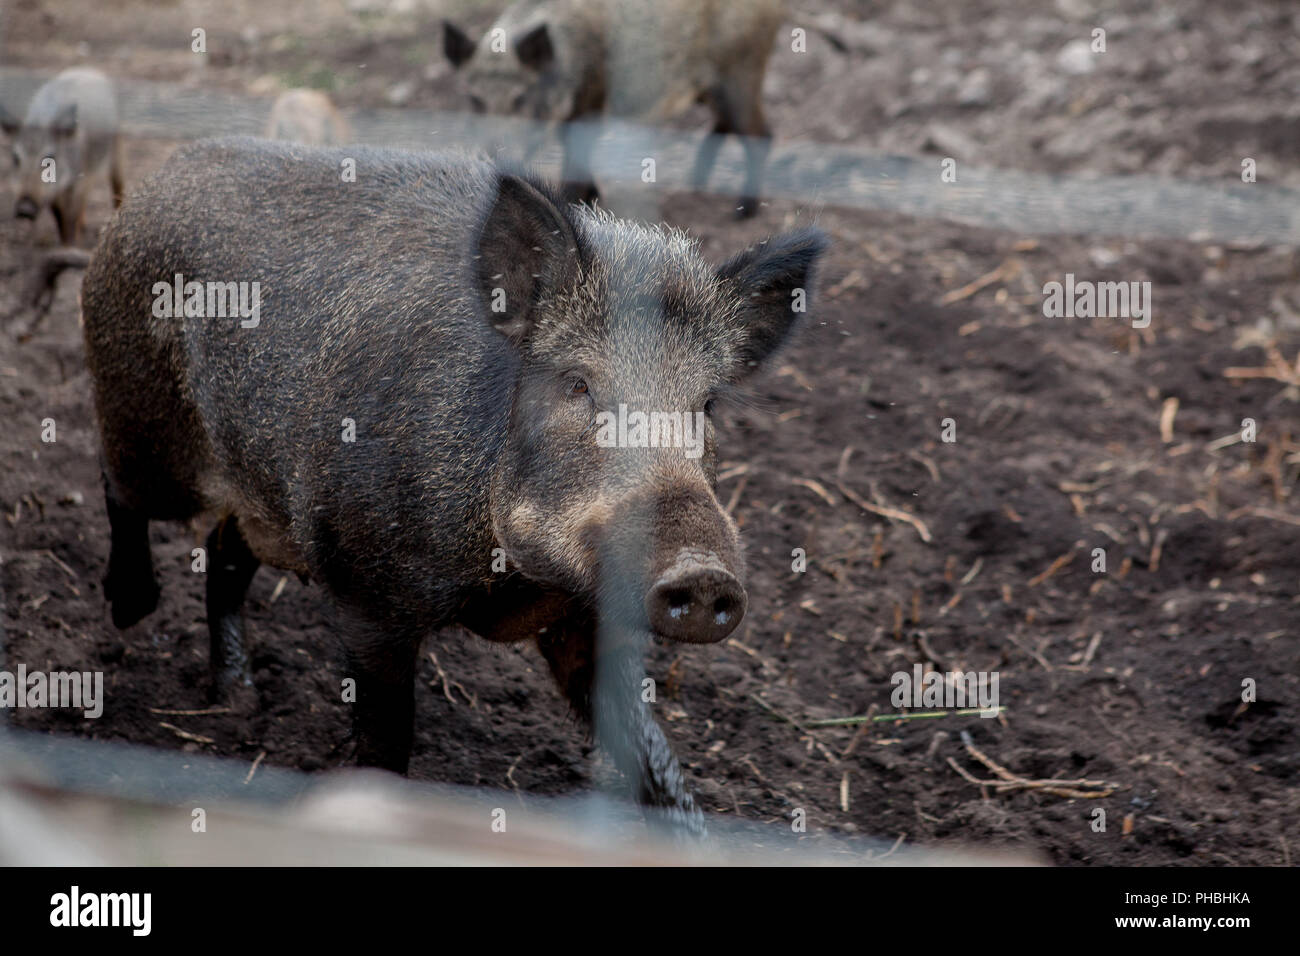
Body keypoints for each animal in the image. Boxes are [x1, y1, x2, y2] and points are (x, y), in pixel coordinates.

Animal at [0, 67, 123, 244]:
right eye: (16, 158)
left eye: (50, 157)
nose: (25, 210)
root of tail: (90, 69)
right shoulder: (54, 191)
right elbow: (59, 216)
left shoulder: (78, 181)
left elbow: (71, 217)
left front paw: (71, 245)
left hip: (117, 145)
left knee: (117, 185)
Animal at [80, 137, 825, 832]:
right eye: (577, 384)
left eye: (706, 405)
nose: (704, 575)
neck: (515, 584)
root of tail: (150, 185)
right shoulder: (369, 595)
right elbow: (388, 740)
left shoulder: (591, 619)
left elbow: (648, 751)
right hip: (150, 431)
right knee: (118, 483)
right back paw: (131, 610)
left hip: (268, 501)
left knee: (225, 550)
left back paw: (237, 698)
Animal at [443, 0, 785, 217]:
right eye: (474, 99)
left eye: (521, 97)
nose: (494, 156)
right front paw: (592, 199)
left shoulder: (592, 100)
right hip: (711, 88)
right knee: (726, 124)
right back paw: (697, 181)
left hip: (741, 72)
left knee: (762, 134)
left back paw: (742, 212)